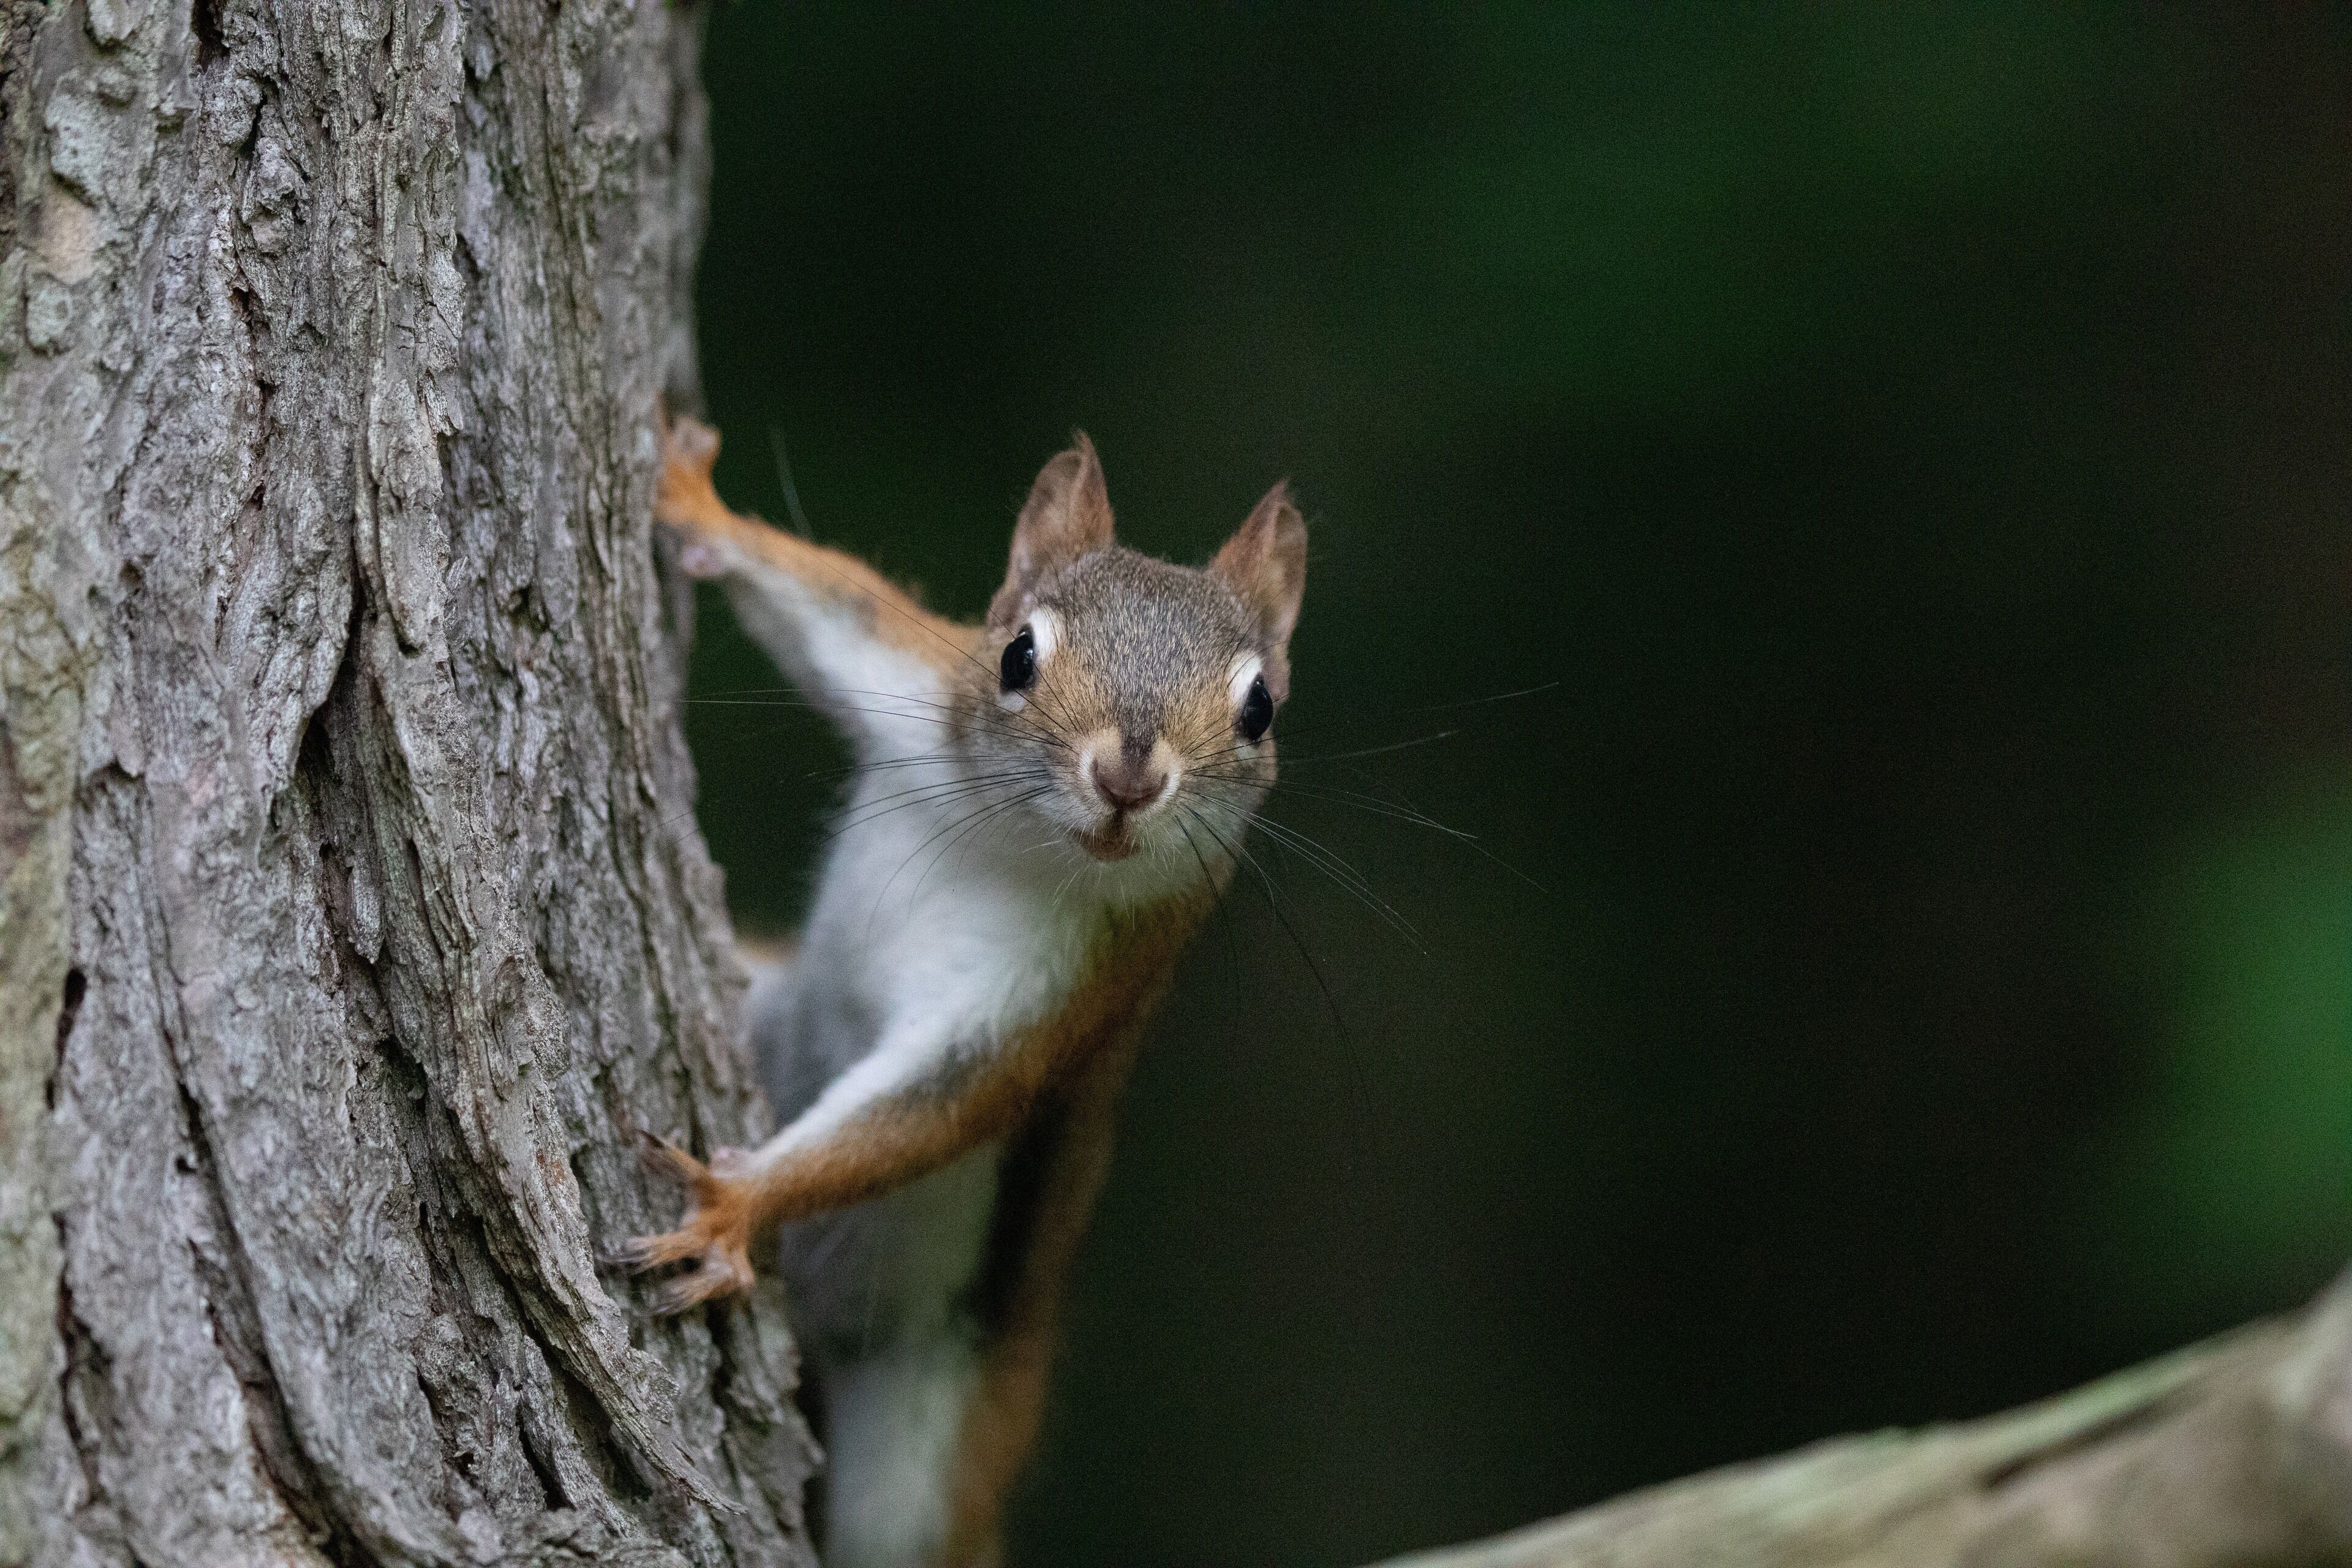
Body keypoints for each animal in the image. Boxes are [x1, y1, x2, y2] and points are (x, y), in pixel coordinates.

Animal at [619, 414, 1306, 1568]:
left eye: (1259, 710)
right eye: (1018, 653)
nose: (1128, 778)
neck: (1018, 841)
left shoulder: (1064, 988)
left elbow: (930, 1107)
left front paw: (733, 1204)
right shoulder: (917, 687)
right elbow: (832, 609)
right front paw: (693, 502)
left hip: (926, 1448)